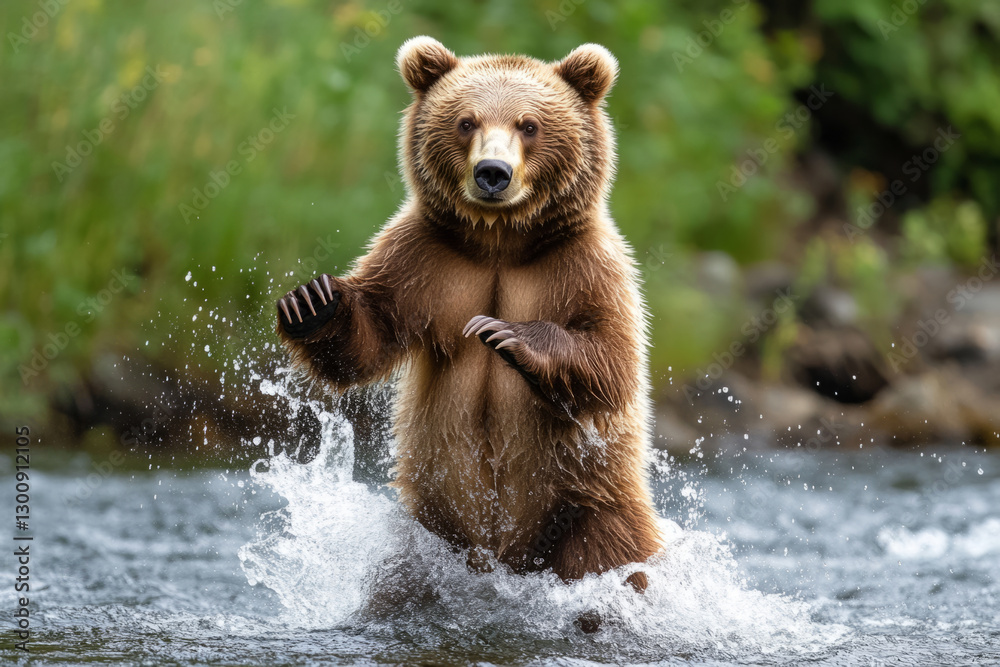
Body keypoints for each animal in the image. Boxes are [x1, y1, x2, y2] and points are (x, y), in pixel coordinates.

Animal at [275, 36, 663, 619]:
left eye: (530, 124)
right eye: (465, 121)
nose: (493, 172)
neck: (500, 243)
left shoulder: (586, 265)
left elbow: (612, 361)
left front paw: (506, 334)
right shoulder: (424, 260)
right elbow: (372, 331)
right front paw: (312, 302)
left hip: (592, 508)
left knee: (612, 563)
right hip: (428, 535)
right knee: (400, 584)